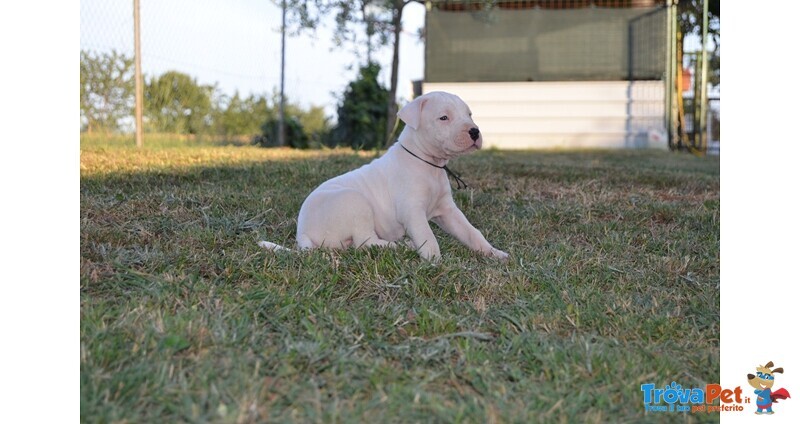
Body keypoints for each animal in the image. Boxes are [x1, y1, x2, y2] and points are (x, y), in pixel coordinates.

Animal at [260, 91, 510, 260]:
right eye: (443, 118)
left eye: (469, 114)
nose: (475, 131)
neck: (427, 163)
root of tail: (302, 233)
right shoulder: (412, 211)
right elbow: (428, 236)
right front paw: (435, 261)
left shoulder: (448, 211)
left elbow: (471, 232)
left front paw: (494, 253)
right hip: (355, 202)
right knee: (364, 242)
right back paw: (399, 247)